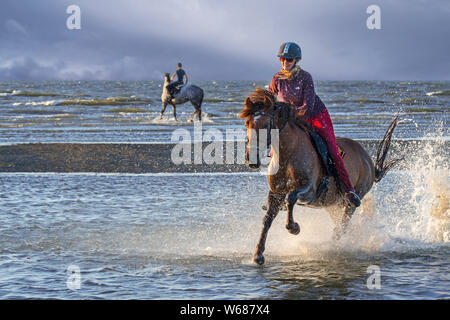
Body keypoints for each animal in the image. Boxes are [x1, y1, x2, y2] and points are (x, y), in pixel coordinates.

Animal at [241, 89, 402, 264]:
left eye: (265, 125)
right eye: (247, 124)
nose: (251, 160)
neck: (287, 155)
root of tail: (368, 160)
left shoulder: (309, 191)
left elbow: (291, 198)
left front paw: (294, 228)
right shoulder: (275, 193)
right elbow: (267, 219)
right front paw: (258, 255)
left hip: (352, 200)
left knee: (342, 226)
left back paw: (333, 247)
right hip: (333, 204)